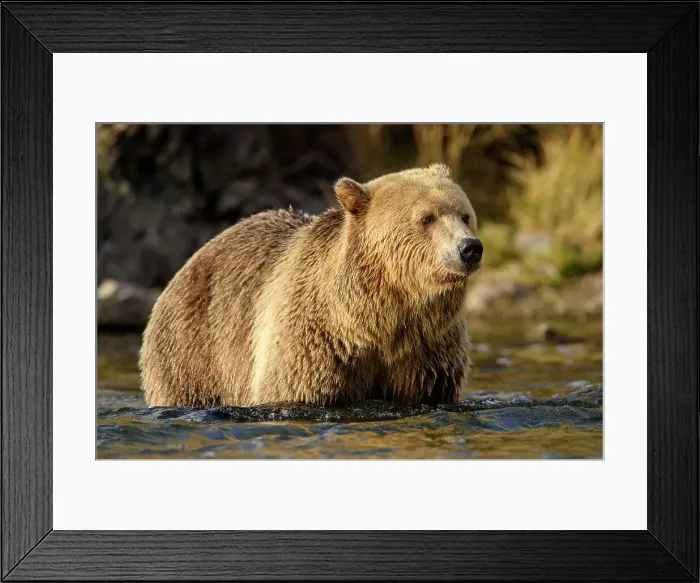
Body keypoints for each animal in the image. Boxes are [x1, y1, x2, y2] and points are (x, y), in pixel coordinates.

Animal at [139, 163, 482, 408]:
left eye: (465, 215)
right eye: (427, 218)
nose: (470, 248)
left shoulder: (427, 354)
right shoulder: (313, 343)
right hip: (192, 348)